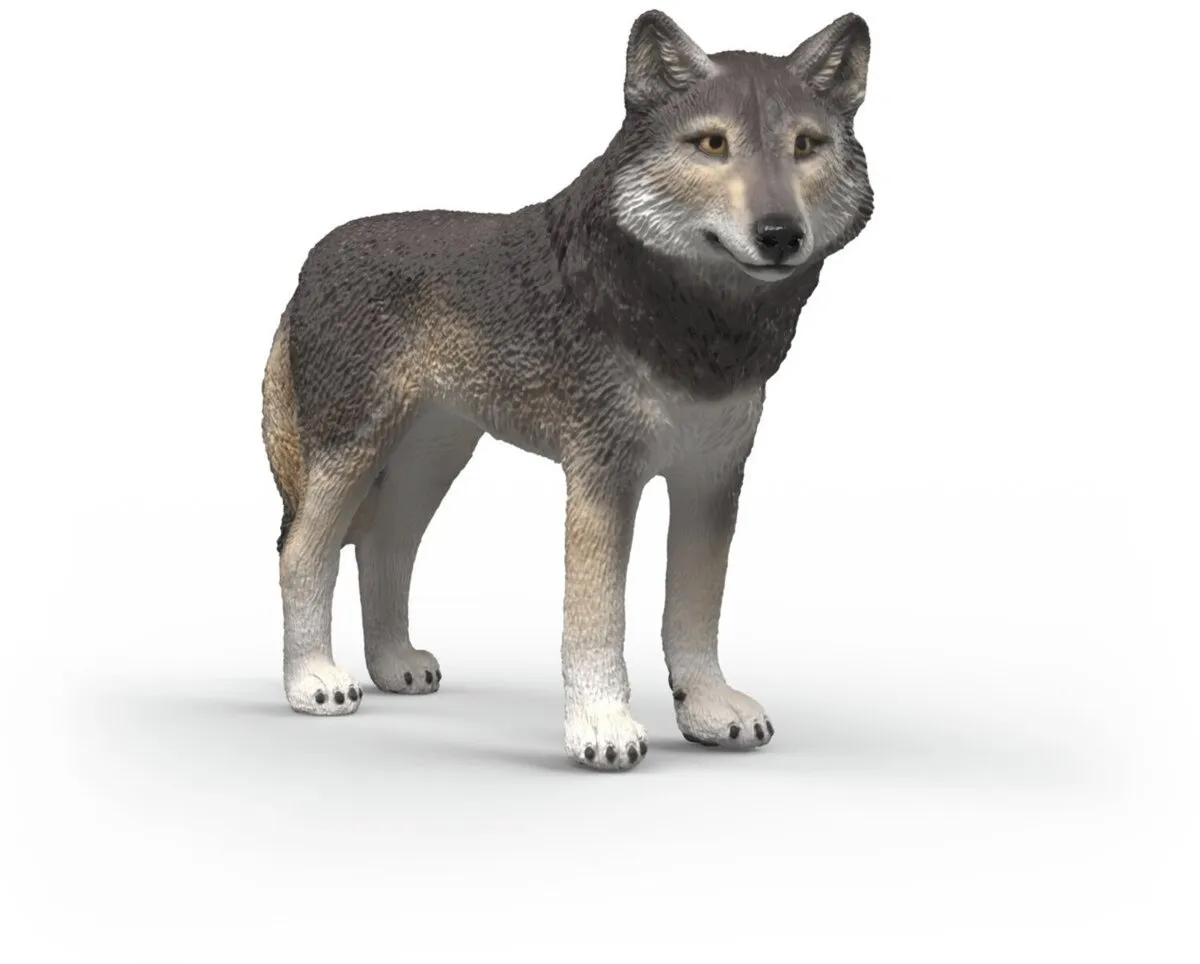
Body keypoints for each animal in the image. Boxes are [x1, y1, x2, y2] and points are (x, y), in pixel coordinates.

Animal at [261, 10, 873, 769]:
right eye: (713, 144)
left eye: (805, 146)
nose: (781, 234)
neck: (698, 324)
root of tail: (310, 262)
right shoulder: (602, 474)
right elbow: (597, 615)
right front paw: (603, 727)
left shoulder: (711, 476)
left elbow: (694, 609)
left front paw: (708, 710)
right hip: (353, 453)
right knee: (301, 553)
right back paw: (314, 682)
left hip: (431, 459)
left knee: (385, 546)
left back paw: (395, 665)